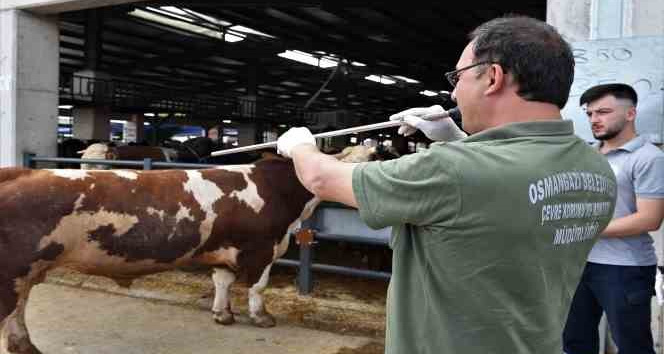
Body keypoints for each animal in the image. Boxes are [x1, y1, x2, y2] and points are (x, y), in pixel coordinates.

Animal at [0, 145, 390, 354]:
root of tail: (19, 172)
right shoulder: (262, 248)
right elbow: (258, 286)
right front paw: (261, 317)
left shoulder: (225, 249)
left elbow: (222, 282)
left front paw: (222, 314)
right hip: (12, 271)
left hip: (25, 273)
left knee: (18, 312)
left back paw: (27, 346)